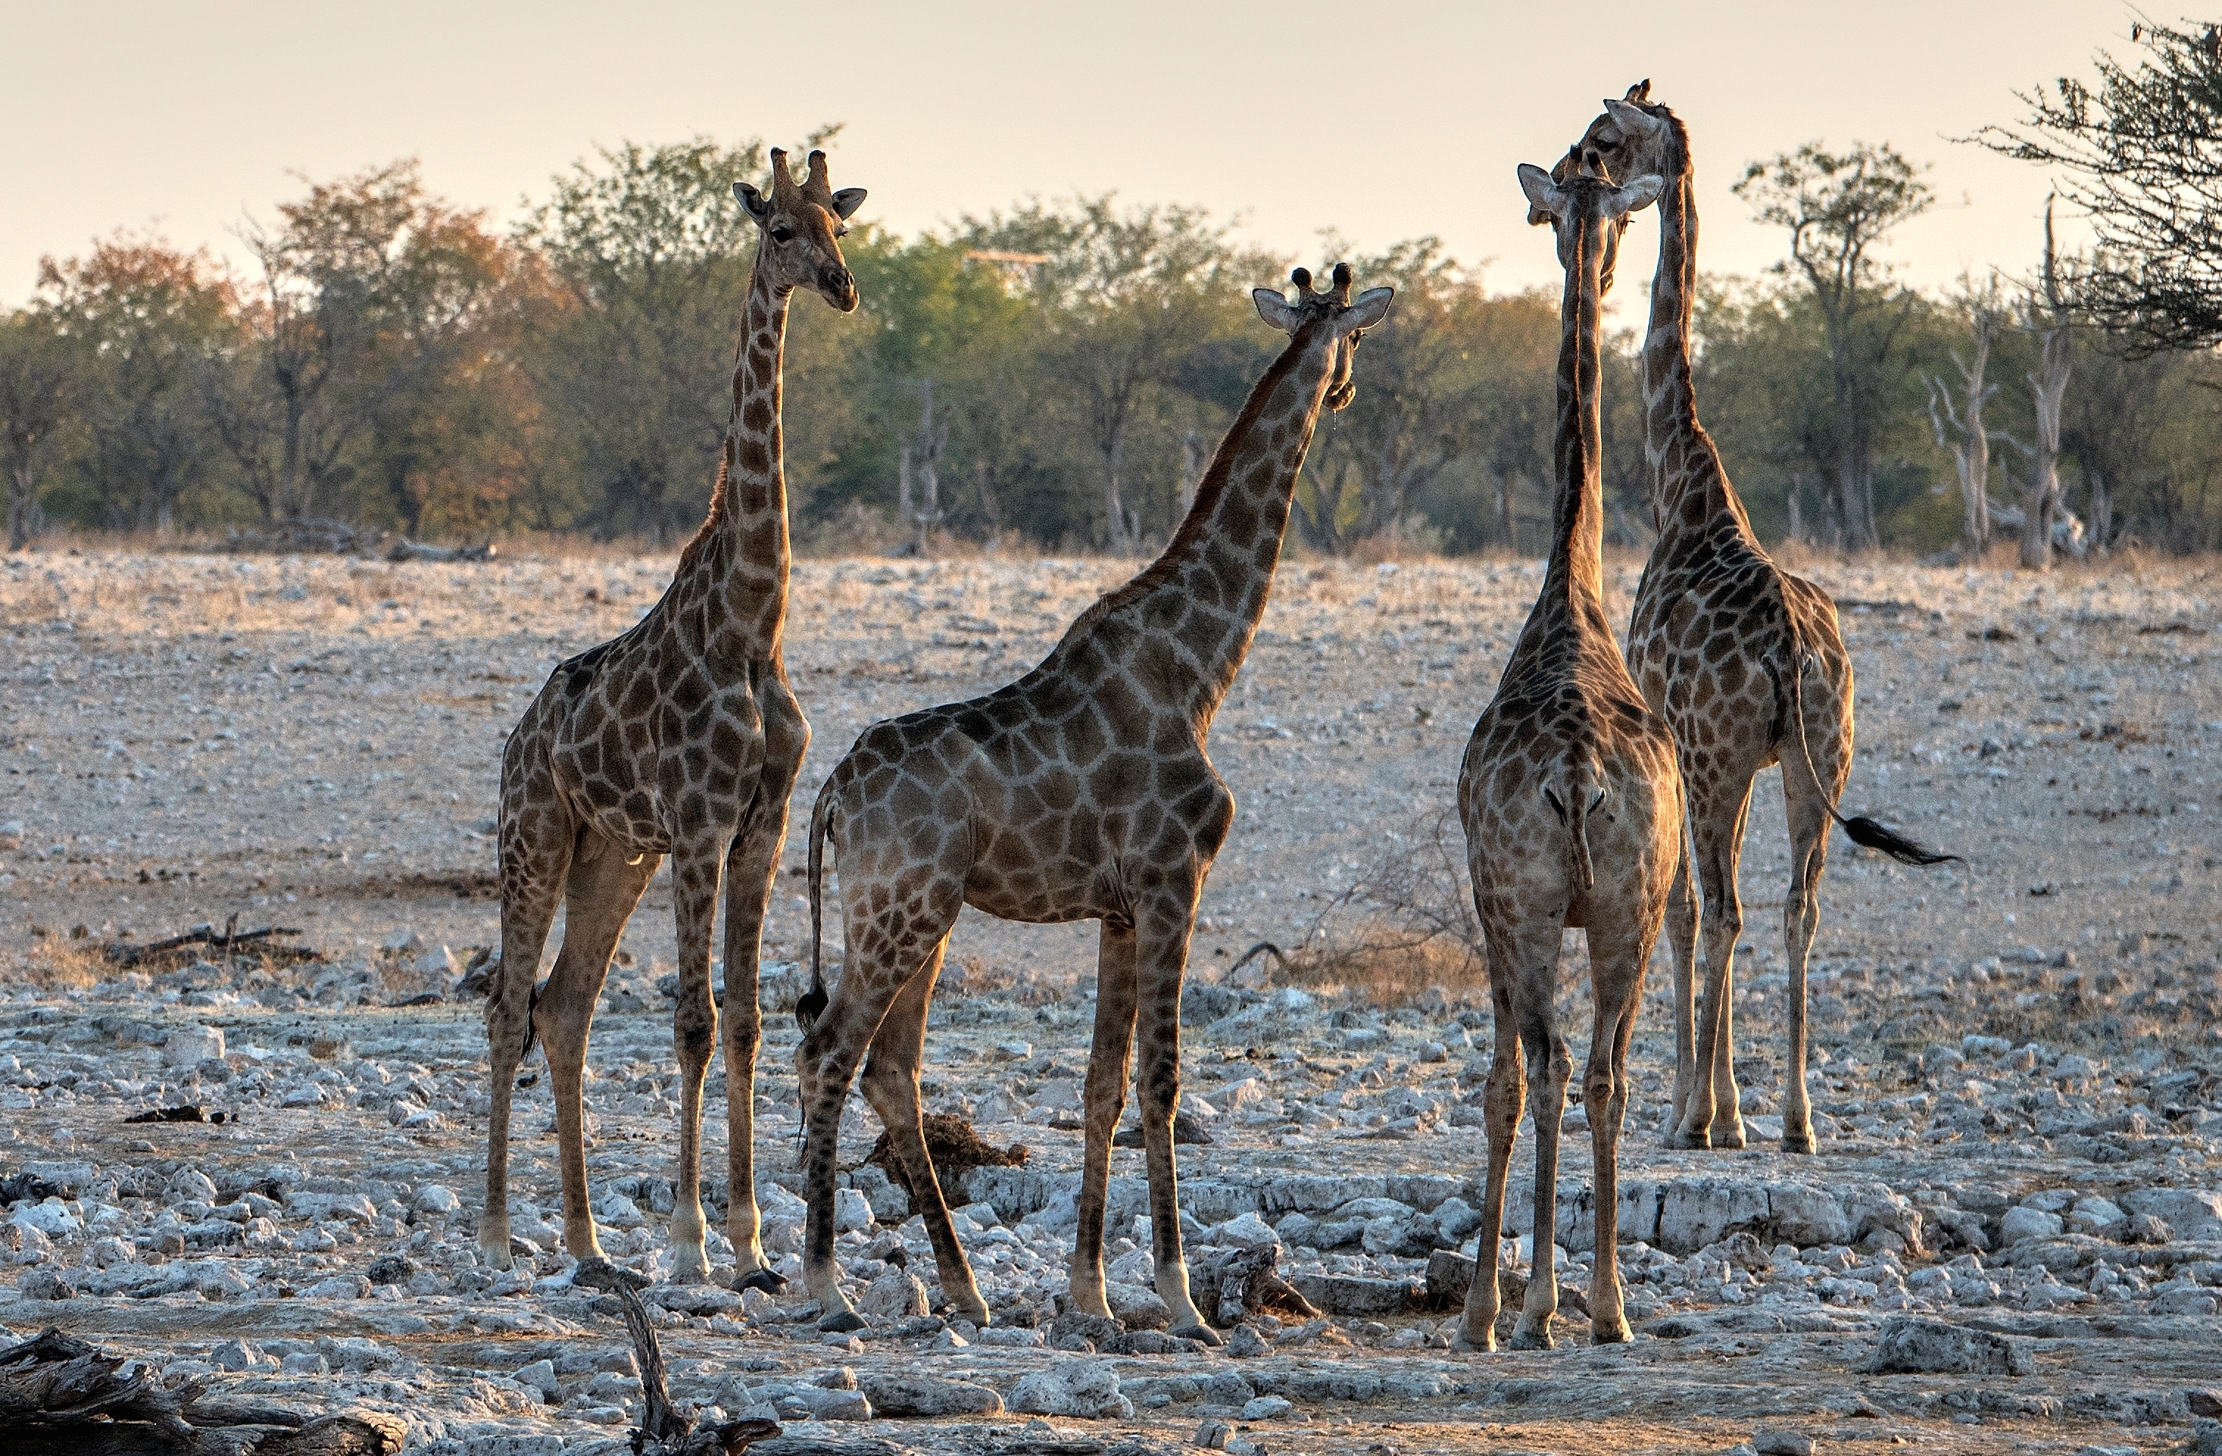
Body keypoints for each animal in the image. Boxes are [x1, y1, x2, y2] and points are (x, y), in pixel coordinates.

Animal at [480, 149, 865, 1289]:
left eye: (839, 225)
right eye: (779, 230)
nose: (841, 286)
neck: (751, 620)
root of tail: (518, 739)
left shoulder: (761, 825)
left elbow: (743, 1021)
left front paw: (748, 1237)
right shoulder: (699, 822)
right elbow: (693, 1022)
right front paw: (694, 1238)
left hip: (613, 855)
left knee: (565, 1009)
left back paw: (584, 1235)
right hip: (536, 838)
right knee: (509, 1006)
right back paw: (496, 1230)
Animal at [790, 265, 1392, 1337]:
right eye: (1355, 339)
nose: (1345, 391)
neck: (1201, 669)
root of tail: (830, 795)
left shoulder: (1117, 908)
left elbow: (1101, 1086)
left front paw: (1092, 1294)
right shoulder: (1172, 882)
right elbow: (1162, 1081)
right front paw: (1182, 1297)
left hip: (918, 916)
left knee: (890, 1070)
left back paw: (964, 1288)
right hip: (902, 912)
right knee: (830, 1055)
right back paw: (826, 1283)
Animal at [1573, 86, 1958, 1155]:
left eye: (1607, 135)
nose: (1570, 166)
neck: (1682, 487)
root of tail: (1793, 649)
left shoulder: (1686, 746)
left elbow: (1685, 915)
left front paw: (1698, 1109)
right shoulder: (1749, 758)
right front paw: (1736, 1108)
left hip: (1725, 759)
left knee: (1724, 909)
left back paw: (1698, 1119)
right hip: (1819, 753)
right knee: (1798, 907)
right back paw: (1798, 1119)